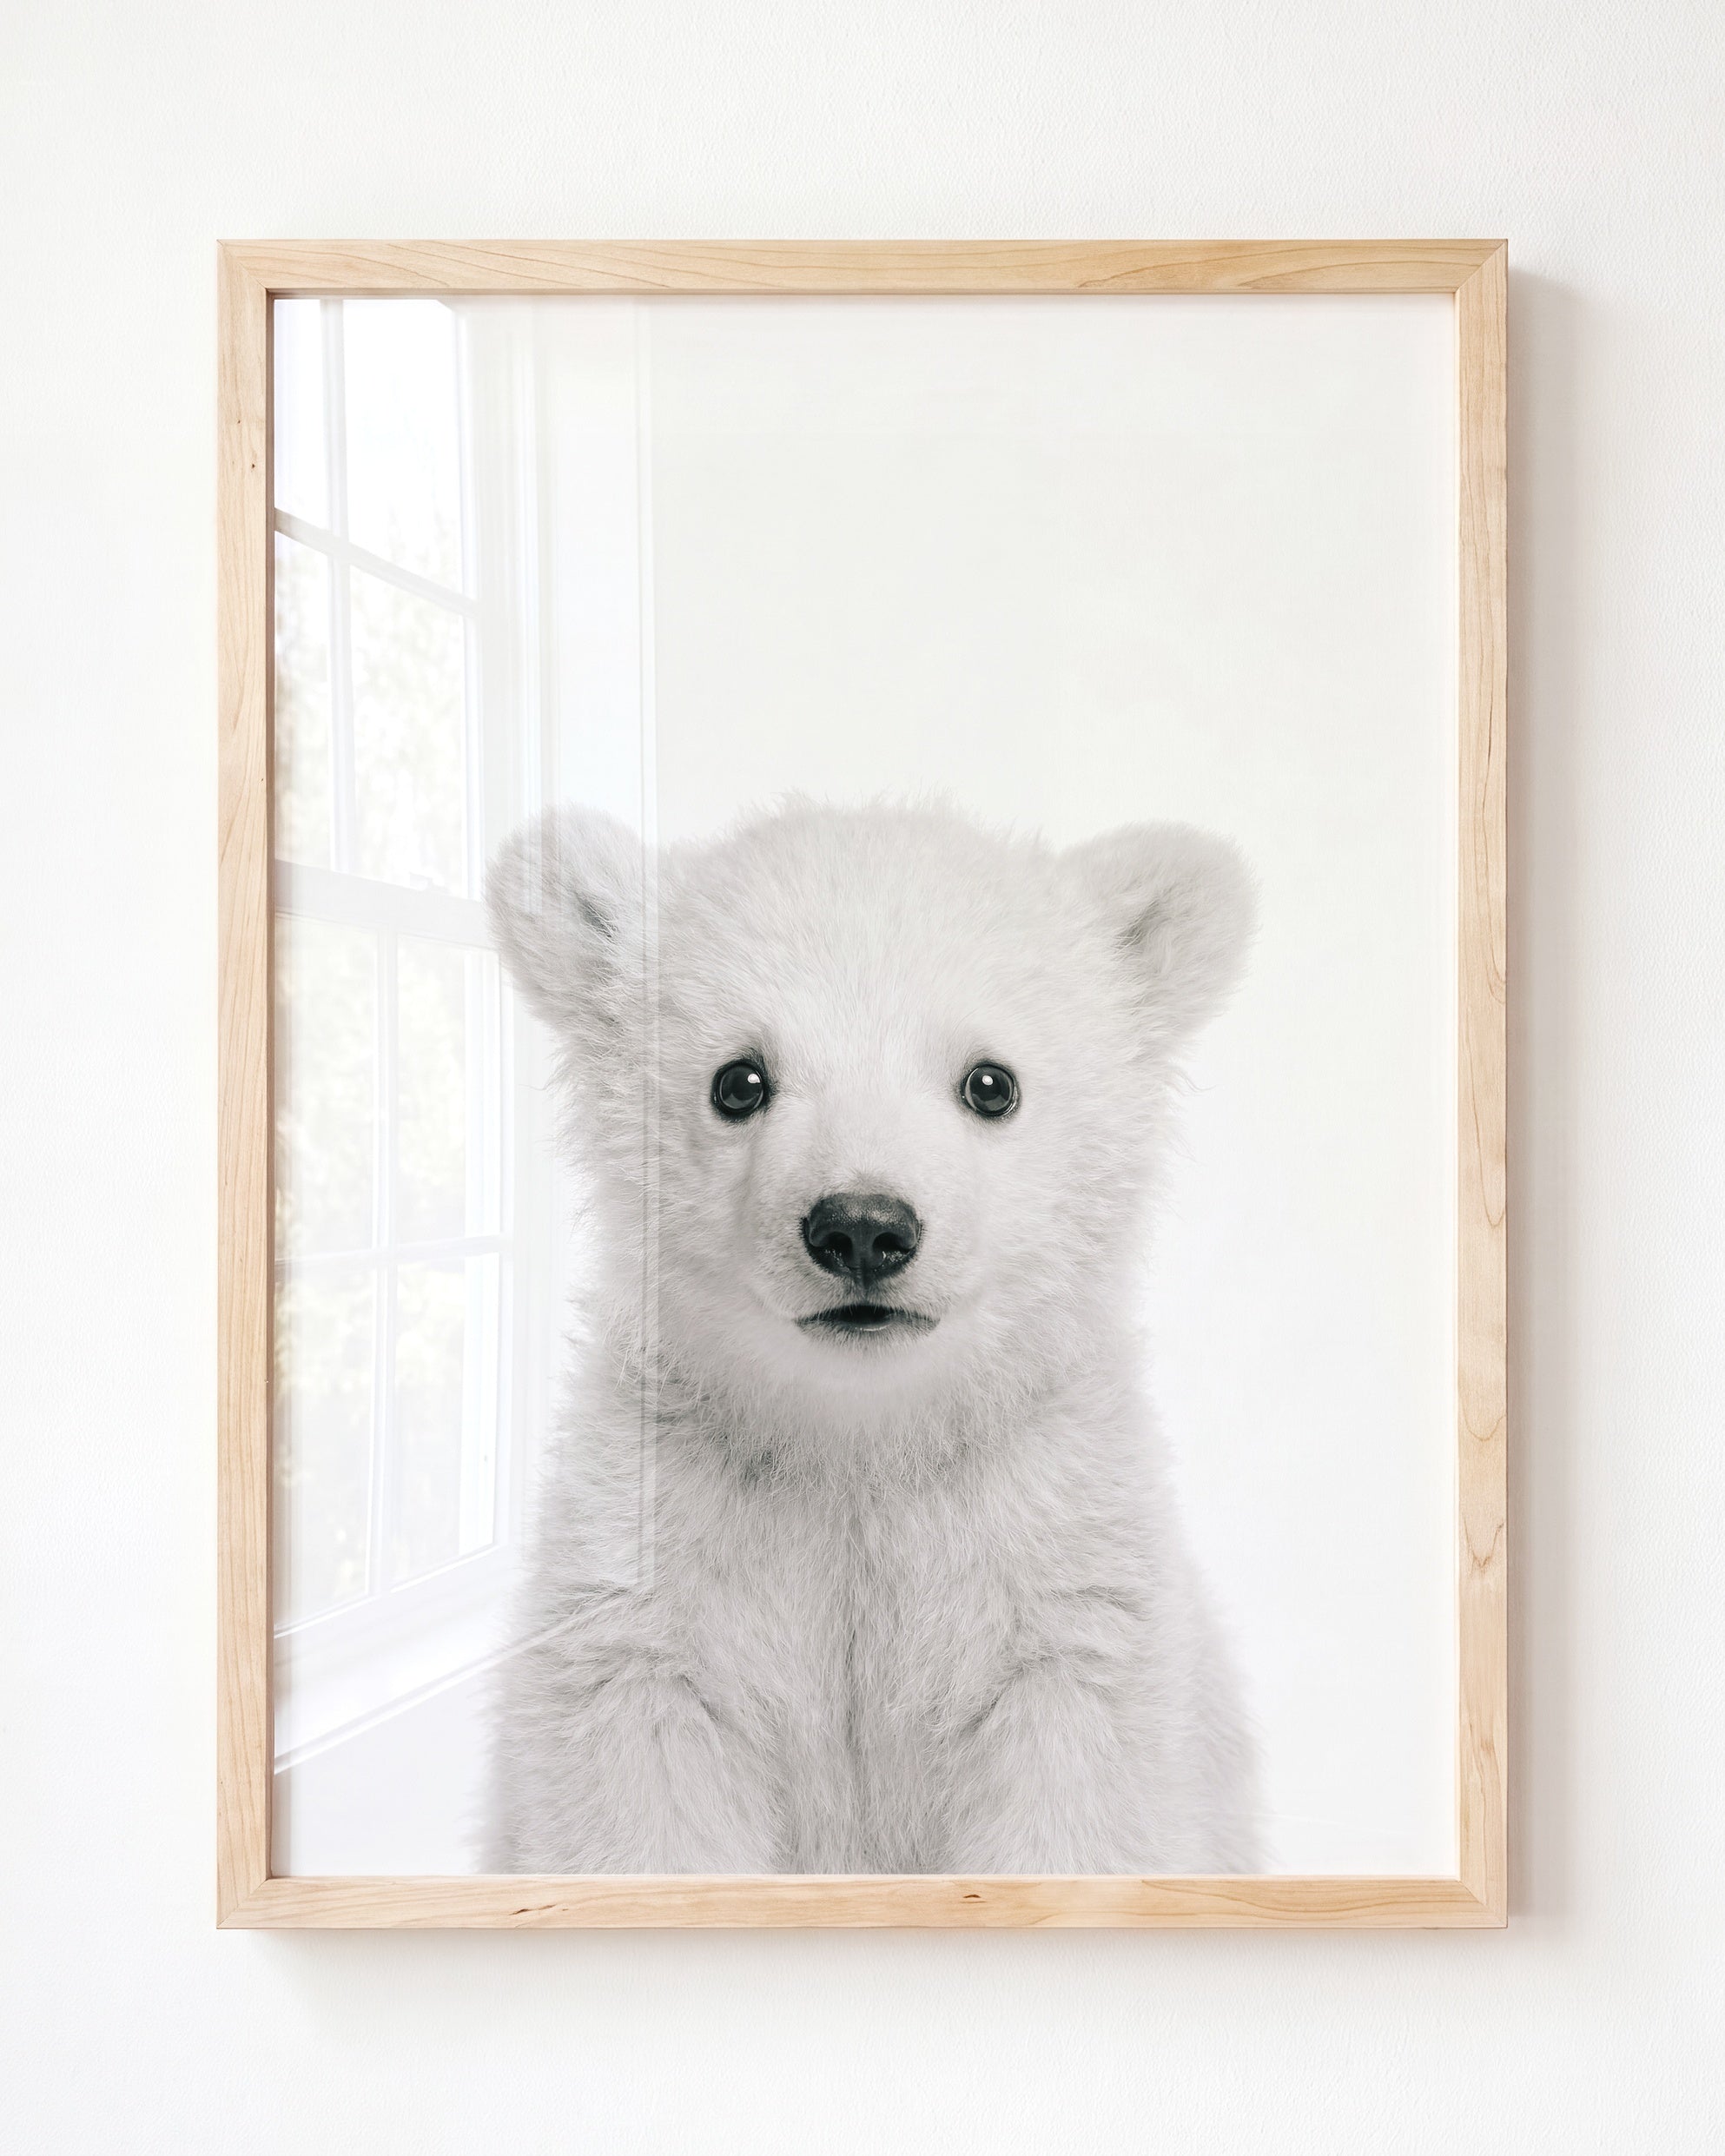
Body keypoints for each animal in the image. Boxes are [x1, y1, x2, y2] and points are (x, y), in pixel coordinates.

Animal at [483, 797, 1259, 1874]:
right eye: (738, 1079)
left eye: (991, 1082)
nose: (861, 1226)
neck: (861, 1443)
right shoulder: (652, 1576)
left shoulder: (1059, 1583)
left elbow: (1082, 1808)